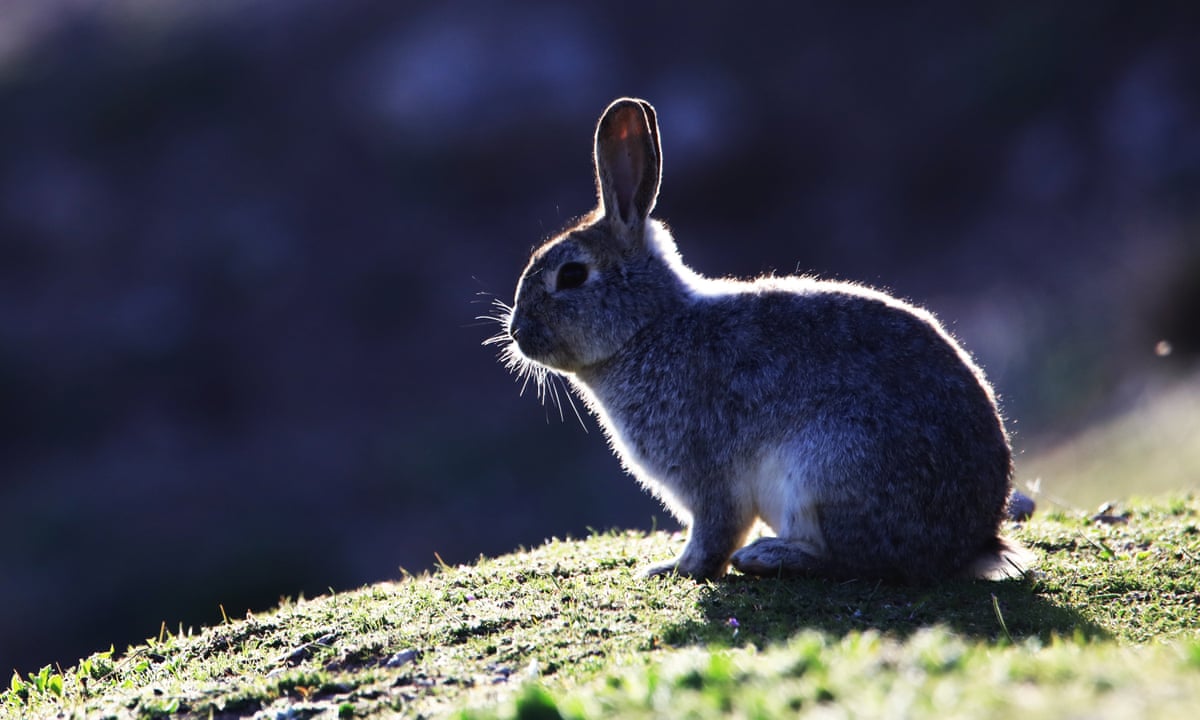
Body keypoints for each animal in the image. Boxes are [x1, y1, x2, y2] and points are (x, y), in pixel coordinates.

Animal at [491, 97, 1034, 583]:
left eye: (572, 275)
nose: (517, 333)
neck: (649, 327)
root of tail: (974, 542)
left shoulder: (708, 475)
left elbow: (714, 531)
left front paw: (675, 569)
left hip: (829, 469)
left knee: (857, 561)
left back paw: (768, 557)